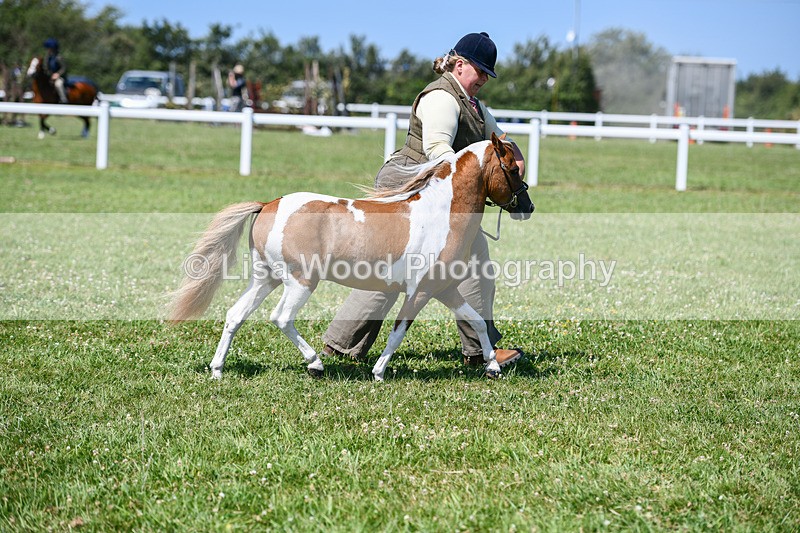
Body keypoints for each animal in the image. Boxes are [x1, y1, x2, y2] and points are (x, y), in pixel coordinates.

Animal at [169, 133, 534, 381]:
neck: (441, 213)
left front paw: (493, 367)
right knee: (281, 318)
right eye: (512, 168)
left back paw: (218, 369)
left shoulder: (443, 289)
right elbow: (399, 330)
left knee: (235, 315)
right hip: (300, 281)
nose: (528, 207)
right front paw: (379, 372)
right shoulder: (420, 292)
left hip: (265, 278)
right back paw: (316, 364)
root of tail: (268, 204)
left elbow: (477, 320)